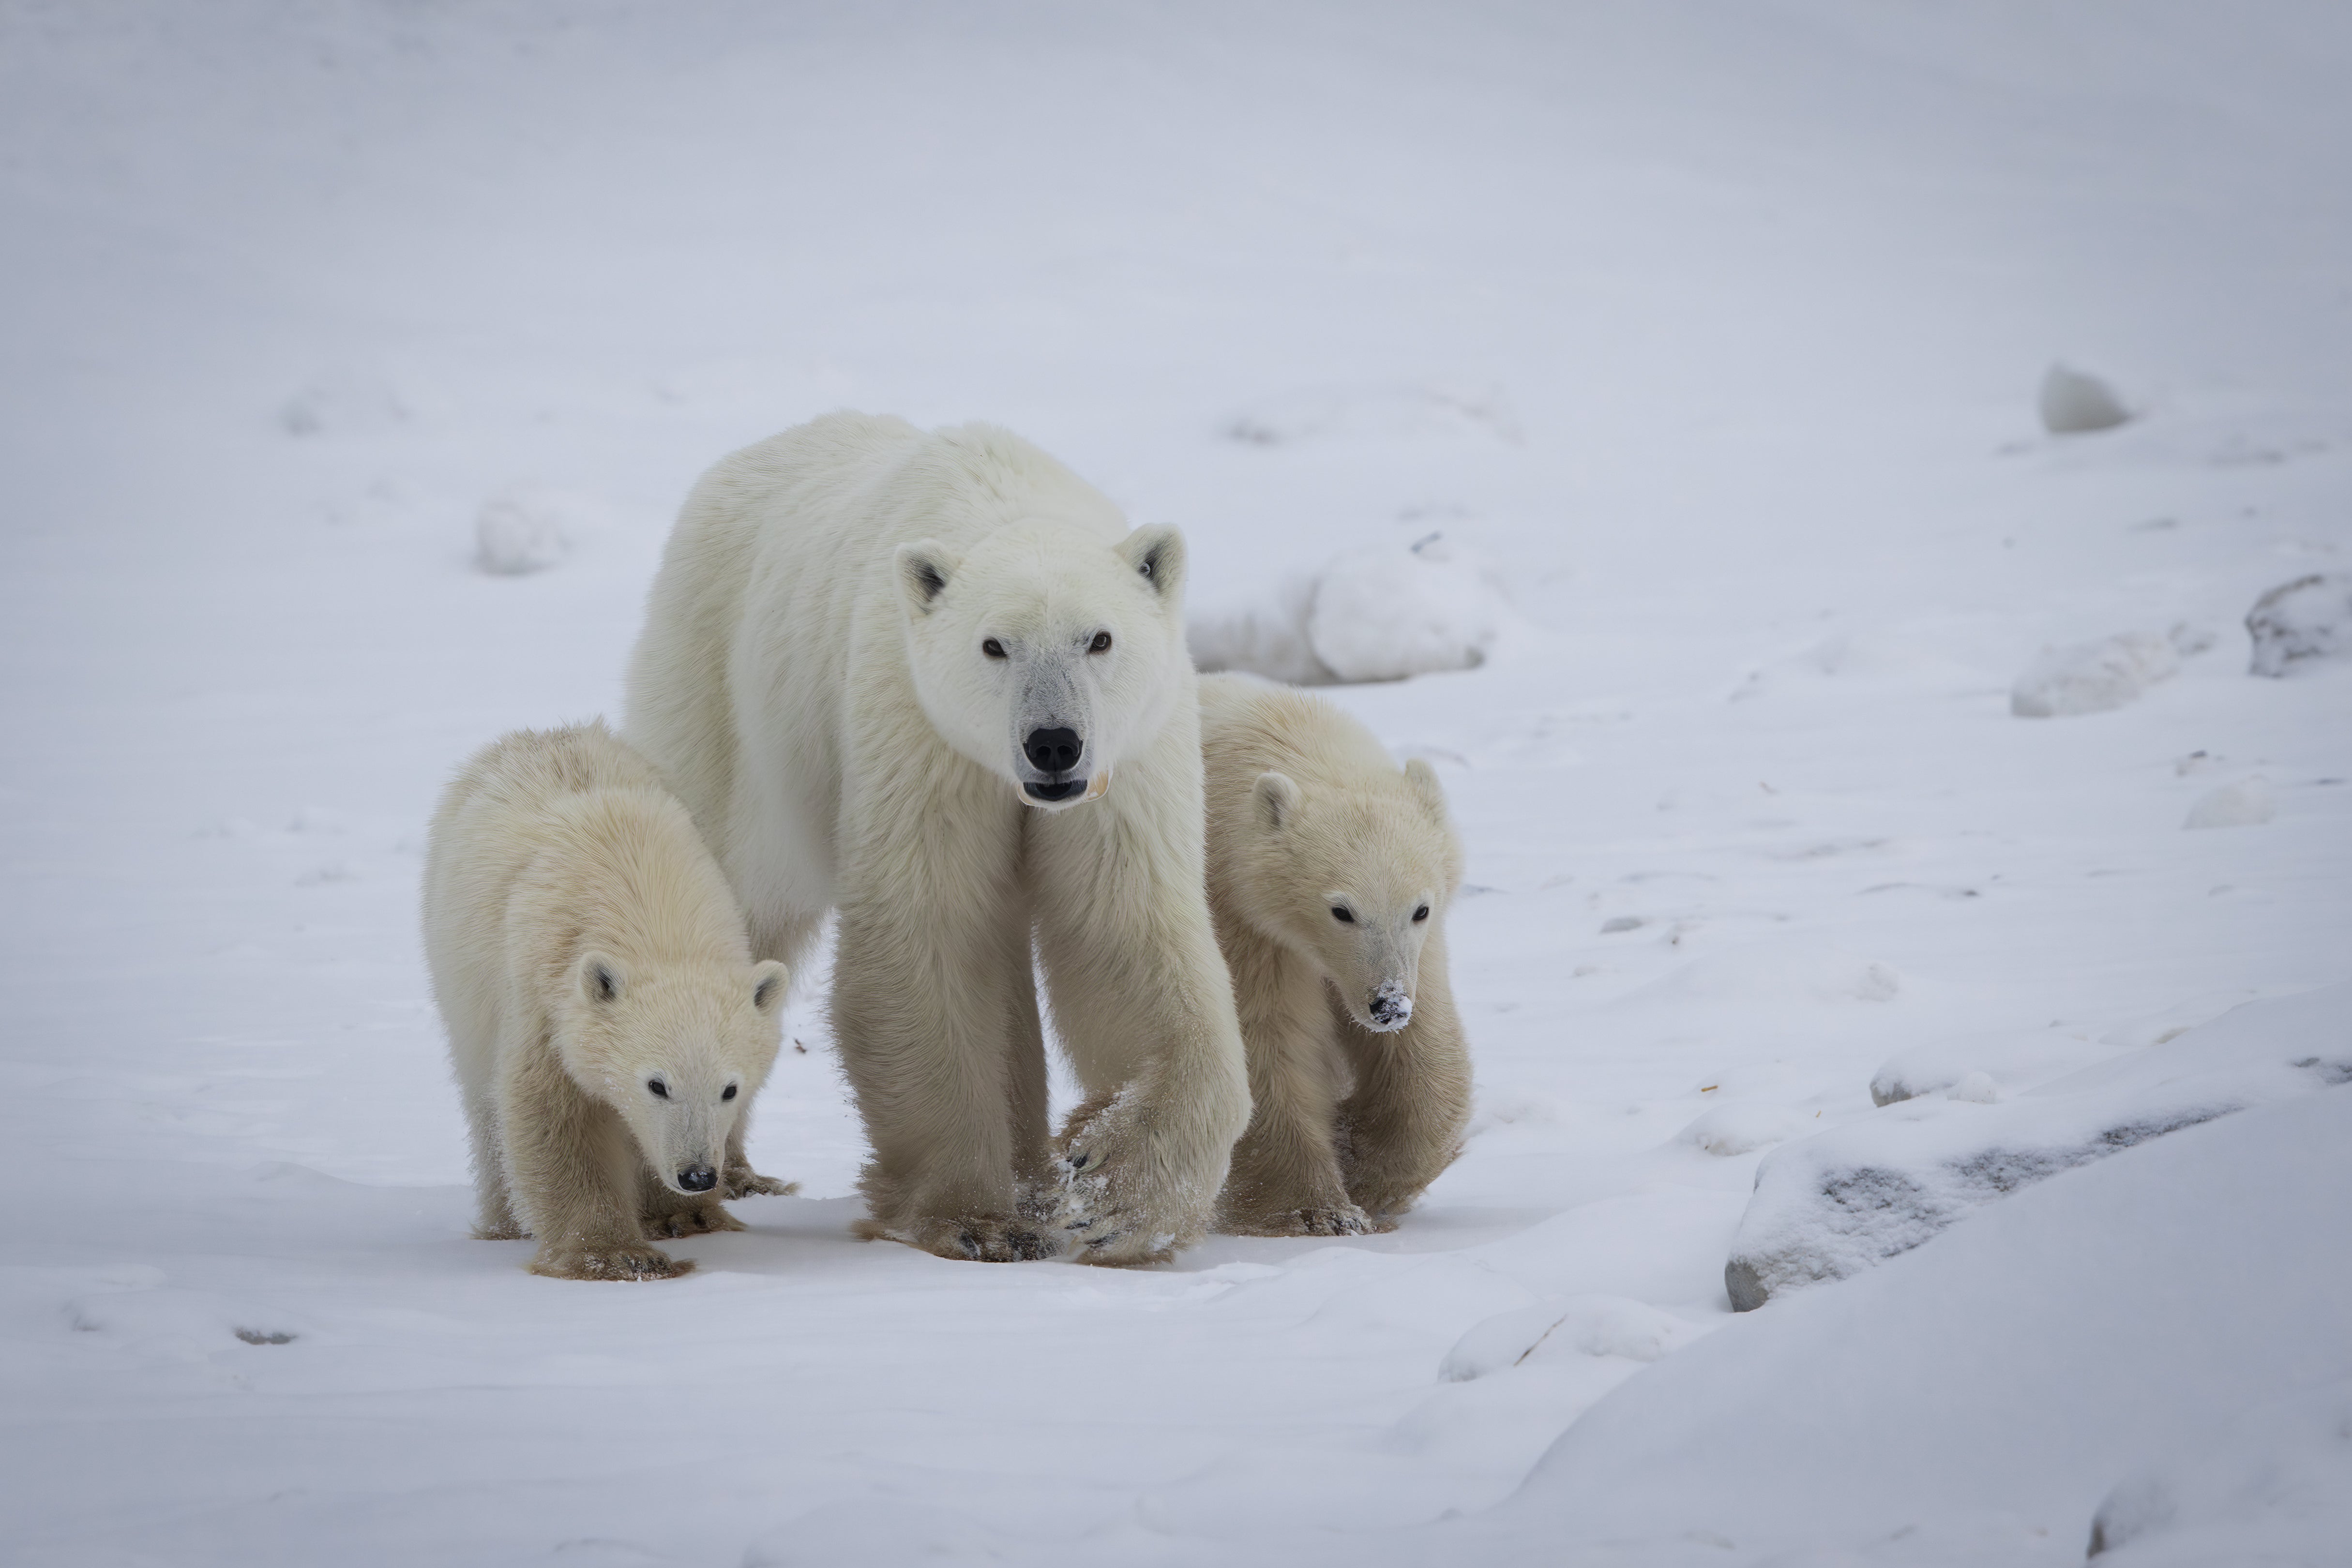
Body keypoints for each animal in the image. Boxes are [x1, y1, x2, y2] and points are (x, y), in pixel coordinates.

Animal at [423, 720, 792, 1280]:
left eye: (730, 1089)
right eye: (657, 1084)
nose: (698, 1175)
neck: (652, 911)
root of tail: (543, 734)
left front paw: (686, 1218)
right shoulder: (548, 996)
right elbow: (555, 1113)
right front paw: (616, 1255)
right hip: (460, 973)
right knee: (484, 1100)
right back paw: (505, 1223)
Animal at [623, 414, 1251, 1265]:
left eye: (1100, 639)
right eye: (994, 645)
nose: (1054, 744)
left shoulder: (1126, 766)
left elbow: (1122, 933)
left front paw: (1115, 1194)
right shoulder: (920, 733)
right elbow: (930, 937)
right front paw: (974, 1220)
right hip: (722, 705)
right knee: (725, 905)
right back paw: (695, 1188)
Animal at [1197, 673, 1472, 1236]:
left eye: (1420, 909)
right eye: (1342, 911)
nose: (1387, 1005)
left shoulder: (1421, 952)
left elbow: (1426, 1052)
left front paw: (1365, 1166)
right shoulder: (1245, 920)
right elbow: (1270, 1042)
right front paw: (1320, 1212)